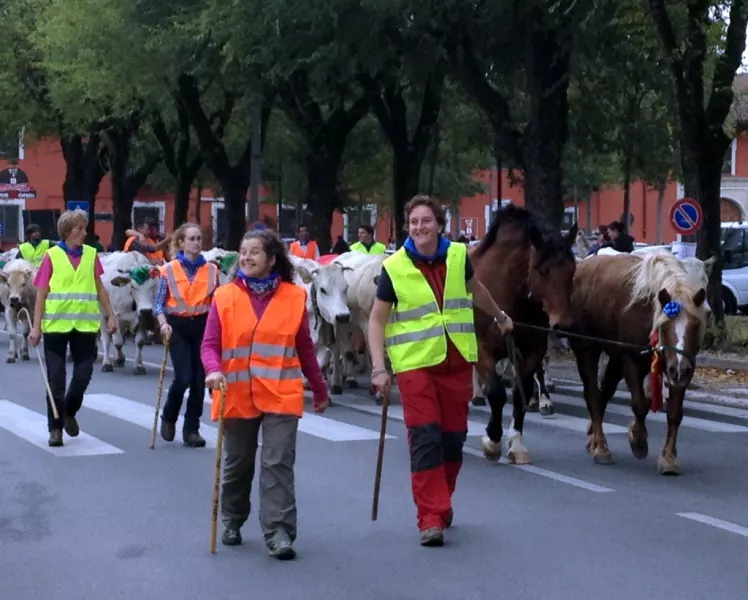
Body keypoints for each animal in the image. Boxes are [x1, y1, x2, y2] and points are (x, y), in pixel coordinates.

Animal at [468, 205, 580, 464]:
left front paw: (516, 443)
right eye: (543, 271)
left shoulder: (532, 351)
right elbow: (497, 393)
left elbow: (521, 393)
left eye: (572, 270)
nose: (563, 324)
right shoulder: (481, 348)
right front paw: (493, 440)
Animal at [568, 252, 712, 474]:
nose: (679, 369)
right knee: (592, 394)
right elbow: (640, 403)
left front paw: (668, 458)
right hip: (587, 348)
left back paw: (593, 439)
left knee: (604, 392)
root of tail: (583, 264)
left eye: (695, 324)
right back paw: (601, 447)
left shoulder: (683, 368)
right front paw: (638, 439)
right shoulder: (630, 359)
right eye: (665, 325)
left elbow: (674, 413)